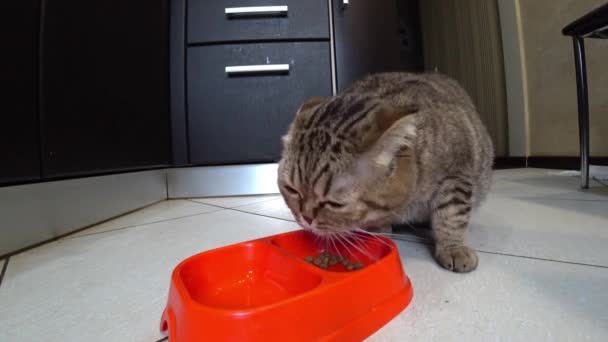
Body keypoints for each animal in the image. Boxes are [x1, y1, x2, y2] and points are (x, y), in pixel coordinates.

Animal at [276, 72, 494, 272]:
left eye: (335, 204)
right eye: (291, 190)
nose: (306, 218)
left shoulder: (456, 174)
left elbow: (451, 214)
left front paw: (453, 248)